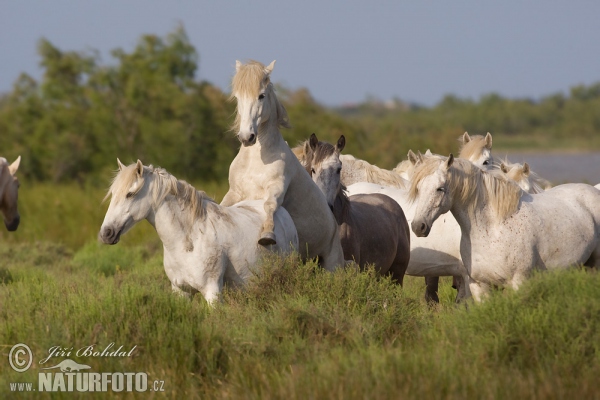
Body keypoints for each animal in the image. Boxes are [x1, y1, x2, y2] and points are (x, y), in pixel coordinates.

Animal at [101, 159, 302, 304]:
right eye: (113, 194)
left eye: (130, 194)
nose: (106, 233)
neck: (188, 240)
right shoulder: (180, 292)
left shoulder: (212, 293)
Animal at [219, 59, 342, 272]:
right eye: (237, 97)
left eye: (261, 95)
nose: (246, 137)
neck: (256, 160)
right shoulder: (235, 192)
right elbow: (222, 205)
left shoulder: (276, 188)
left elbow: (269, 205)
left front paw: (267, 236)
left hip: (333, 263)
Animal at [410, 155, 600, 302]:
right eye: (418, 188)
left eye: (440, 188)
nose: (418, 226)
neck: (493, 228)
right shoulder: (479, 286)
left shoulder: (519, 282)